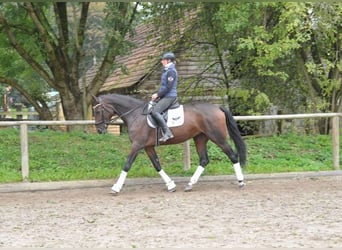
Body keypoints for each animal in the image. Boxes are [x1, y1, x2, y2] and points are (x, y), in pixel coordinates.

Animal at [92, 94, 247, 193]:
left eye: (98, 111)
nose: (99, 130)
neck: (135, 114)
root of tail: (217, 107)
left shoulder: (137, 145)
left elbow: (127, 165)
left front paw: (116, 187)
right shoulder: (148, 147)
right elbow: (157, 165)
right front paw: (170, 185)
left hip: (218, 137)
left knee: (233, 155)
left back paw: (241, 182)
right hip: (200, 138)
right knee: (204, 160)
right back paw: (190, 184)